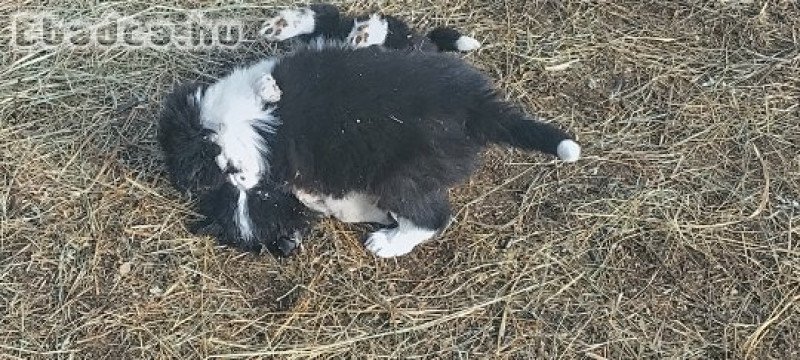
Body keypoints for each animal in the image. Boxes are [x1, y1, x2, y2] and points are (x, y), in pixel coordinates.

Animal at [158, 42, 580, 258]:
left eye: (227, 178)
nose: (244, 183)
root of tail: (475, 108)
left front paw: (269, 92)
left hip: (401, 175)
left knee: (434, 217)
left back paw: (388, 243)